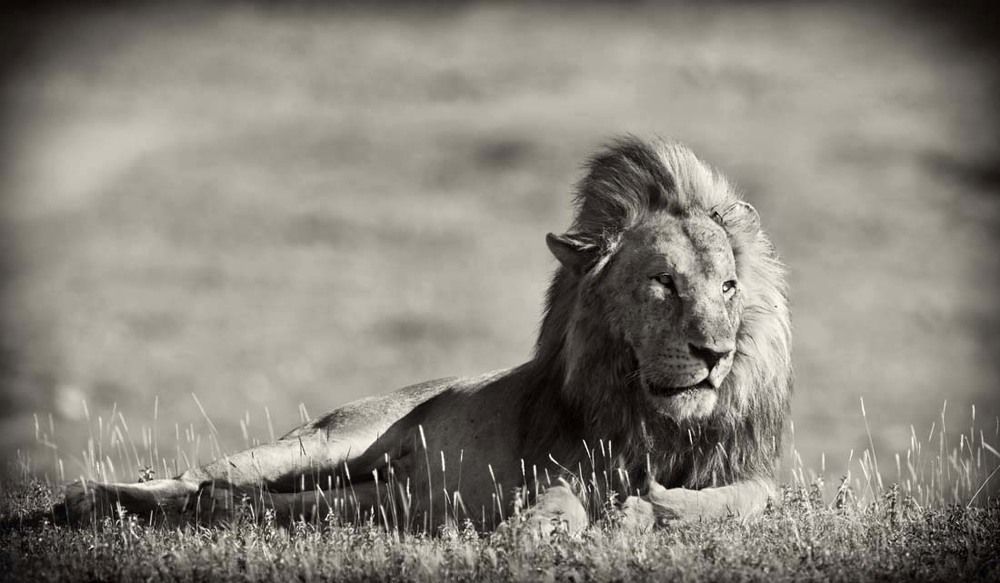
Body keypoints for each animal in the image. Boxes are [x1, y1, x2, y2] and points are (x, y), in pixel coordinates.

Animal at [54, 136, 791, 533]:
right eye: (664, 283)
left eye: (728, 287)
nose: (714, 354)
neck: (654, 416)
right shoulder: (559, 464)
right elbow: (560, 500)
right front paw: (534, 531)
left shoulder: (748, 472)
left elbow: (746, 497)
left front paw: (653, 509)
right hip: (328, 441)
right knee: (199, 474)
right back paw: (94, 498)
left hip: (385, 498)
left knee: (266, 502)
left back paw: (214, 508)